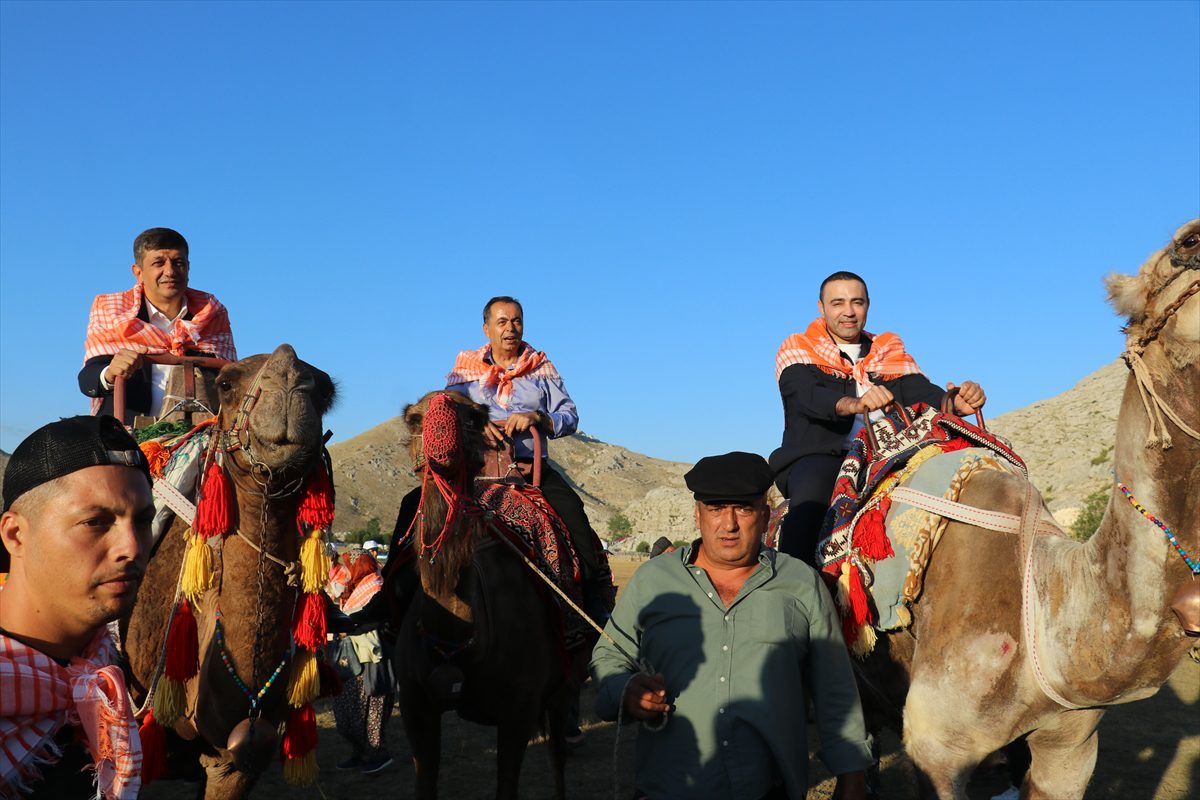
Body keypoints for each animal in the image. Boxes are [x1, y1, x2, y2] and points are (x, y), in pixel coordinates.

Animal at [391, 393, 573, 800]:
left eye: (475, 417)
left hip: (560, 686)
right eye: (414, 419)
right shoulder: (414, 706)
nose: (441, 437)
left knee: (558, 755)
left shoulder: (519, 710)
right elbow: (424, 784)